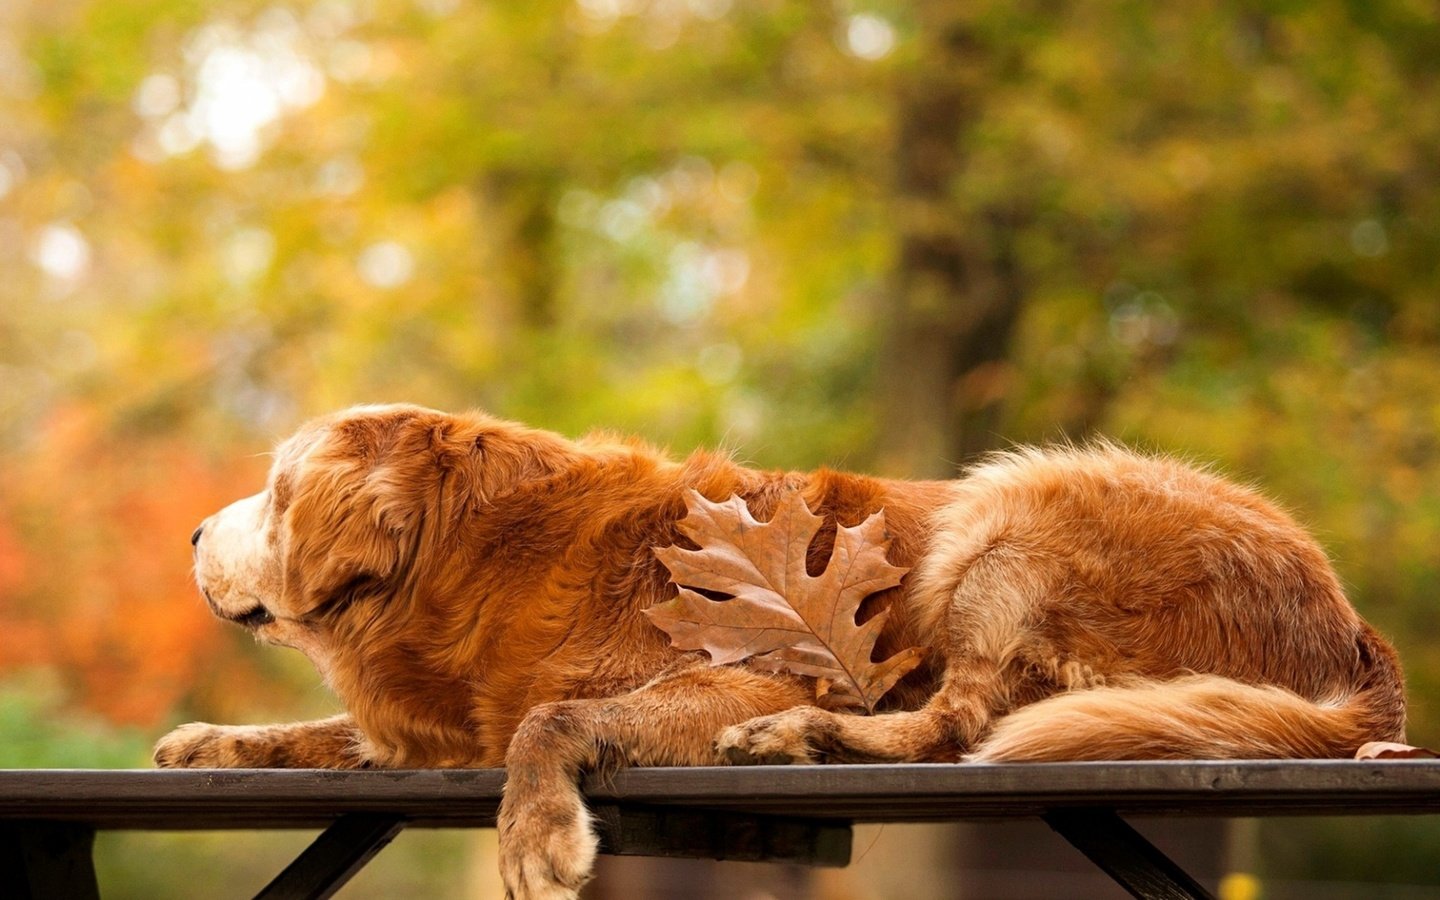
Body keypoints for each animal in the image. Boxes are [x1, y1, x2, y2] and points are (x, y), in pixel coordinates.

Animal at [157, 403, 1405, 892]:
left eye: (271, 494)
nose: (191, 534)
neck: (478, 554)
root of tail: (1351, 624)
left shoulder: (733, 670)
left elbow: (548, 720)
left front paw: (537, 832)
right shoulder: (438, 724)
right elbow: (327, 733)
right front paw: (212, 741)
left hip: (1011, 509)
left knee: (956, 725)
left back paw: (800, 737)